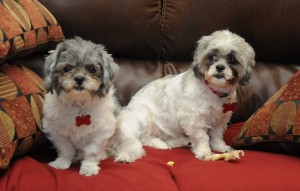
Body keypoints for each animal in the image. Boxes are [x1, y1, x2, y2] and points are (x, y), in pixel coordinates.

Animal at [42, 37, 119, 176]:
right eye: (66, 68)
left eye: (92, 69)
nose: (79, 78)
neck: (79, 105)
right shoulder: (56, 130)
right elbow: (65, 148)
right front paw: (62, 163)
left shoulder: (101, 131)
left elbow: (91, 151)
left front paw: (89, 167)